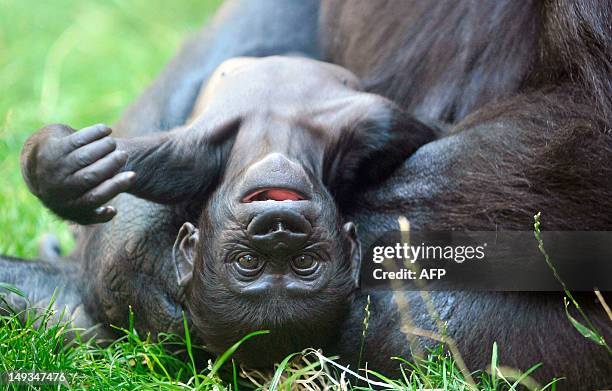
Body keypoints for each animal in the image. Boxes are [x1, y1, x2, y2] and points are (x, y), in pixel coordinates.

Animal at [17, 56, 430, 368]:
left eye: (304, 262)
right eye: (248, 262)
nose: (278, 229)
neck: (276, 146)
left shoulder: (378, 132)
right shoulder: (190, 163)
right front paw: (57, 170)